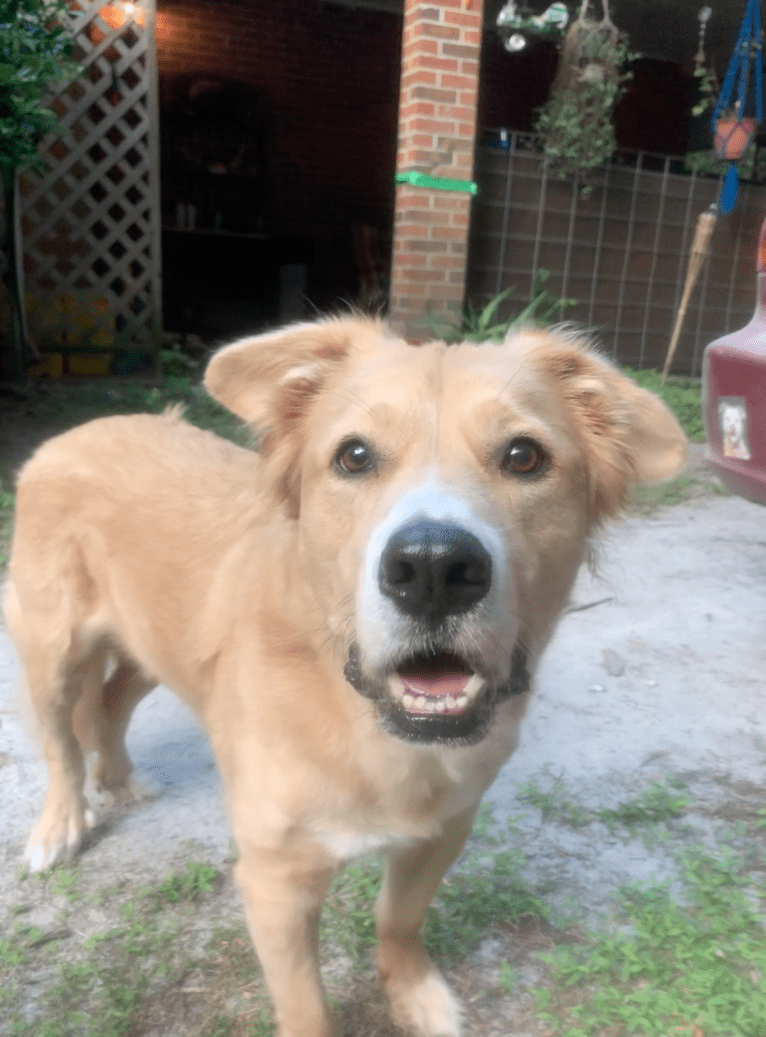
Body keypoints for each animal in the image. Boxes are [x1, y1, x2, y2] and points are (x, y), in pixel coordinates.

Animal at [4, 317, 688, 1037]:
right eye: (354, 456)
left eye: (524, 456)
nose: (433, 568)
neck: (366, 723)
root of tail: (76, 431)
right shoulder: (275, 881)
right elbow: (306, 1003)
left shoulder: (442, 830)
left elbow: (398, 919)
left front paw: (413, 993)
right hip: (52, 646)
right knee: (60, 742)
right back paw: (60, 826)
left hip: (154, 644)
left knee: (108, 702)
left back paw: (119, 778)